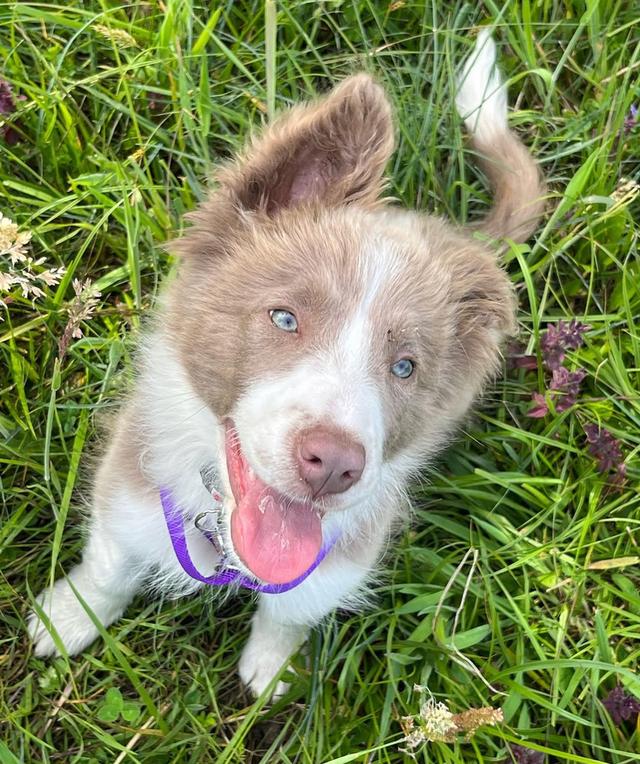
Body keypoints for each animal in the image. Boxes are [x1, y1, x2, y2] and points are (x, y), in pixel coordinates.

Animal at [30, 31, 544, 700]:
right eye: (283, 317)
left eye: (405, 367)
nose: (334, 466)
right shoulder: (130, 482)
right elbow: (109, 562)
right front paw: (69, 619)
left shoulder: (340, 558)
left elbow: (290, 611)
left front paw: (271, 670)